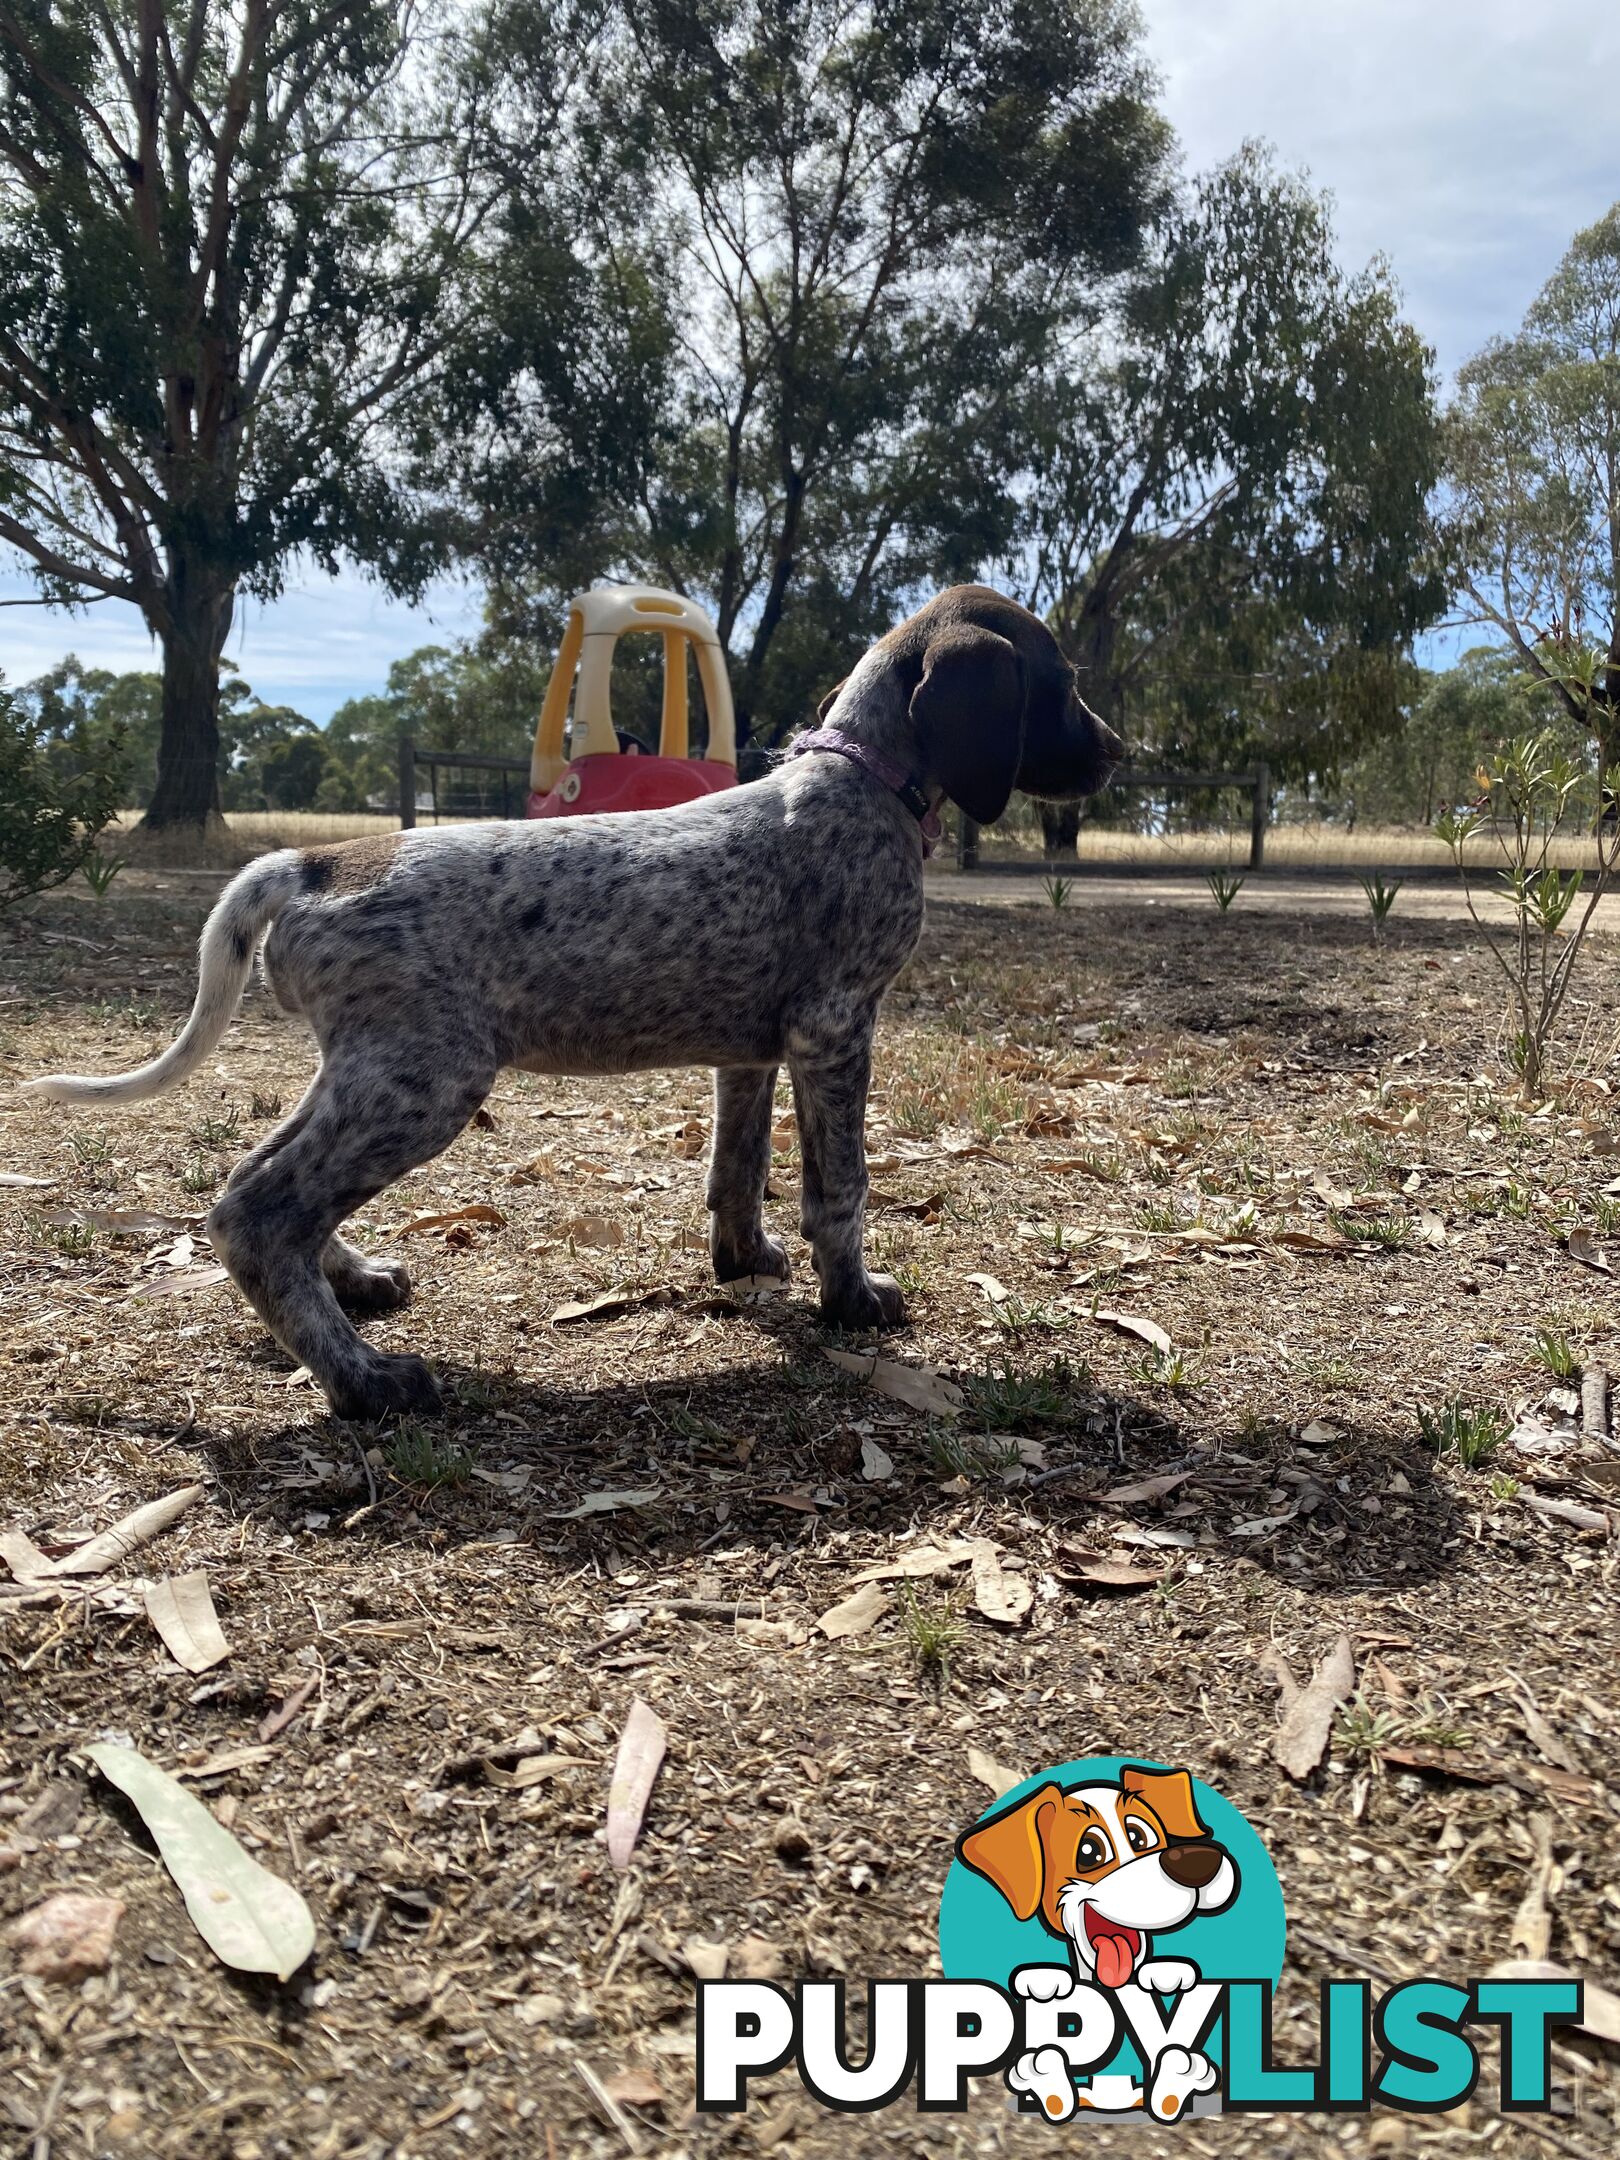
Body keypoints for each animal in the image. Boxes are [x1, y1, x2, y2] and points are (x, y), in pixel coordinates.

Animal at [25, 583, 1123, 1416]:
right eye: (1063, 683)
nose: (1120, 752)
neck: (859, 782)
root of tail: (313, 864)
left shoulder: (754, 1051)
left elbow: (738, 1172)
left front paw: (746, 1262)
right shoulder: (837, 1029)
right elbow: (839, 1190)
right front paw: (852, 1300)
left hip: (366, 1071)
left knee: (259, 1181)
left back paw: (354, 1284)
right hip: (425, 1083)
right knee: (255, 1209)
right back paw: (364, 1381)